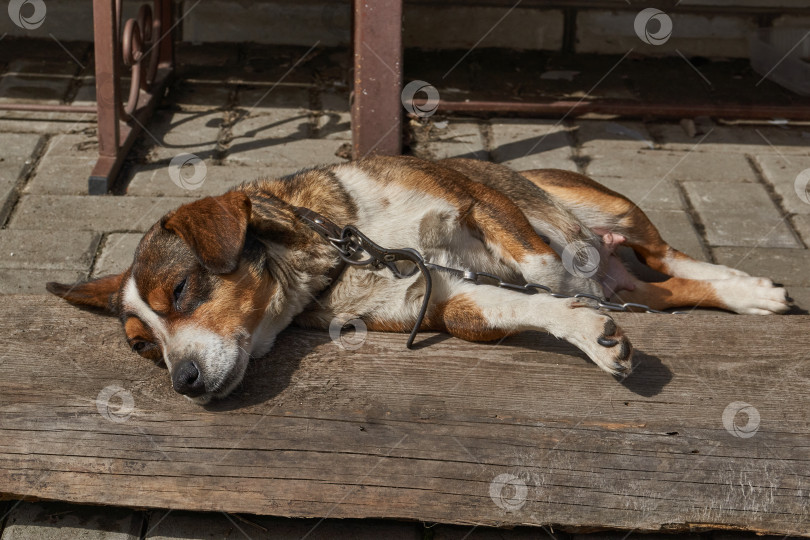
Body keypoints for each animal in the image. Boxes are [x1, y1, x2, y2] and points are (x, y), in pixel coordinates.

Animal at [47, 154, 784, 402]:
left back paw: (750, 288)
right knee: (661, 287)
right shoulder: (441, 295)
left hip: (603, 205)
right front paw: (586, 330)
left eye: (181, 292)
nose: (186, 383)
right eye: (144, 349)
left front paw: (567, 289)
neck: (348, 256)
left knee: (667, 257)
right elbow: (495, 308)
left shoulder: (474, 200)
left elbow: (544, 264)